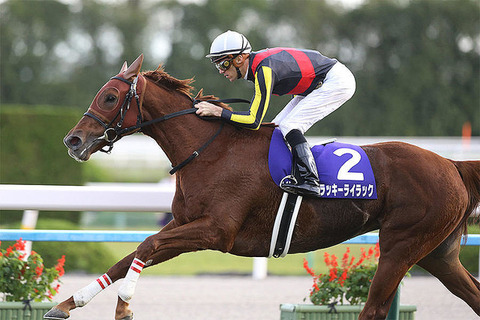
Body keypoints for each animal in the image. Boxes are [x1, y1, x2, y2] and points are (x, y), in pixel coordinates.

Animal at [46, 55, 480, 320]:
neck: (210, 149)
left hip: (400, 245)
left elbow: (146, 246)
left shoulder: (216, 231)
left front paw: (123, 307)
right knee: (471, 293)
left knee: (373, 308)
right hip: (438, 253)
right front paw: (68, 302)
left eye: (110, 97)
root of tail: (451, 164)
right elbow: (131, 255)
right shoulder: (184, 225)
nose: (72, 141)